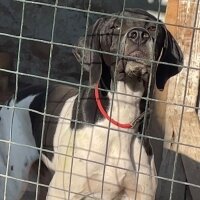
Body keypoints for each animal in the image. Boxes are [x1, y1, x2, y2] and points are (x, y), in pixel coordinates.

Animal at [0, 8, 183, 200]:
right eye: (115, 26)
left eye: (153, 28)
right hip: (14, 181)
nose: (139, 35)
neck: (121, 117)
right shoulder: (62, 191)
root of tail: (14, 96)